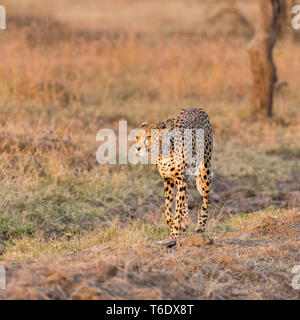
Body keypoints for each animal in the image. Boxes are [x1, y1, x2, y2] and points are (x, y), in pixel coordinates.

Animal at [135, 109, 212, 239]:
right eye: (137, 137)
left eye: (149, 137)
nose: (137, 148)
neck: (163, 151)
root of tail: (198, 108)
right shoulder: (168, 179)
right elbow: (168, 210)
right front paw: (173, 225)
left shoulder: (180, 179)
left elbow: (177, 209)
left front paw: (175, 233)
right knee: (184, 197)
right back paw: (184, 223)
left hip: (205, 168)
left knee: (206, 198)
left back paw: (201, 225)